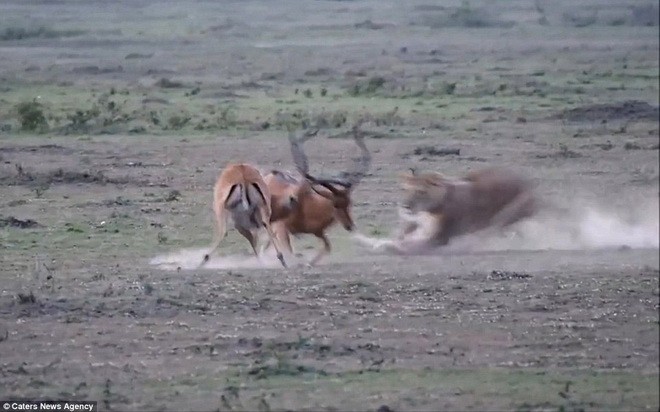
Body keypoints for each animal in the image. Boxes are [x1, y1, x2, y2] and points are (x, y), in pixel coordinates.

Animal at [262, 120, 372, 266]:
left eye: (349, 203)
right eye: (335, 204)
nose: (350, 226)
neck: (307, 207)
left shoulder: (318, 232)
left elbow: (327, 247)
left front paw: (308, 263)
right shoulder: (281, 227)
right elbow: (289, 251)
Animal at [356, 167, 536, 254]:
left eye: (420, 192)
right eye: (405, 190)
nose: (405, 206)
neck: (426, 212)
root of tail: (527, 181)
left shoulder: (438, 238)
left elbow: (406, 244)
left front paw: (386, 246)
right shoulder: (415, 226)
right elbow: (398, 237)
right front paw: (365, 240)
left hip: (508, 213)